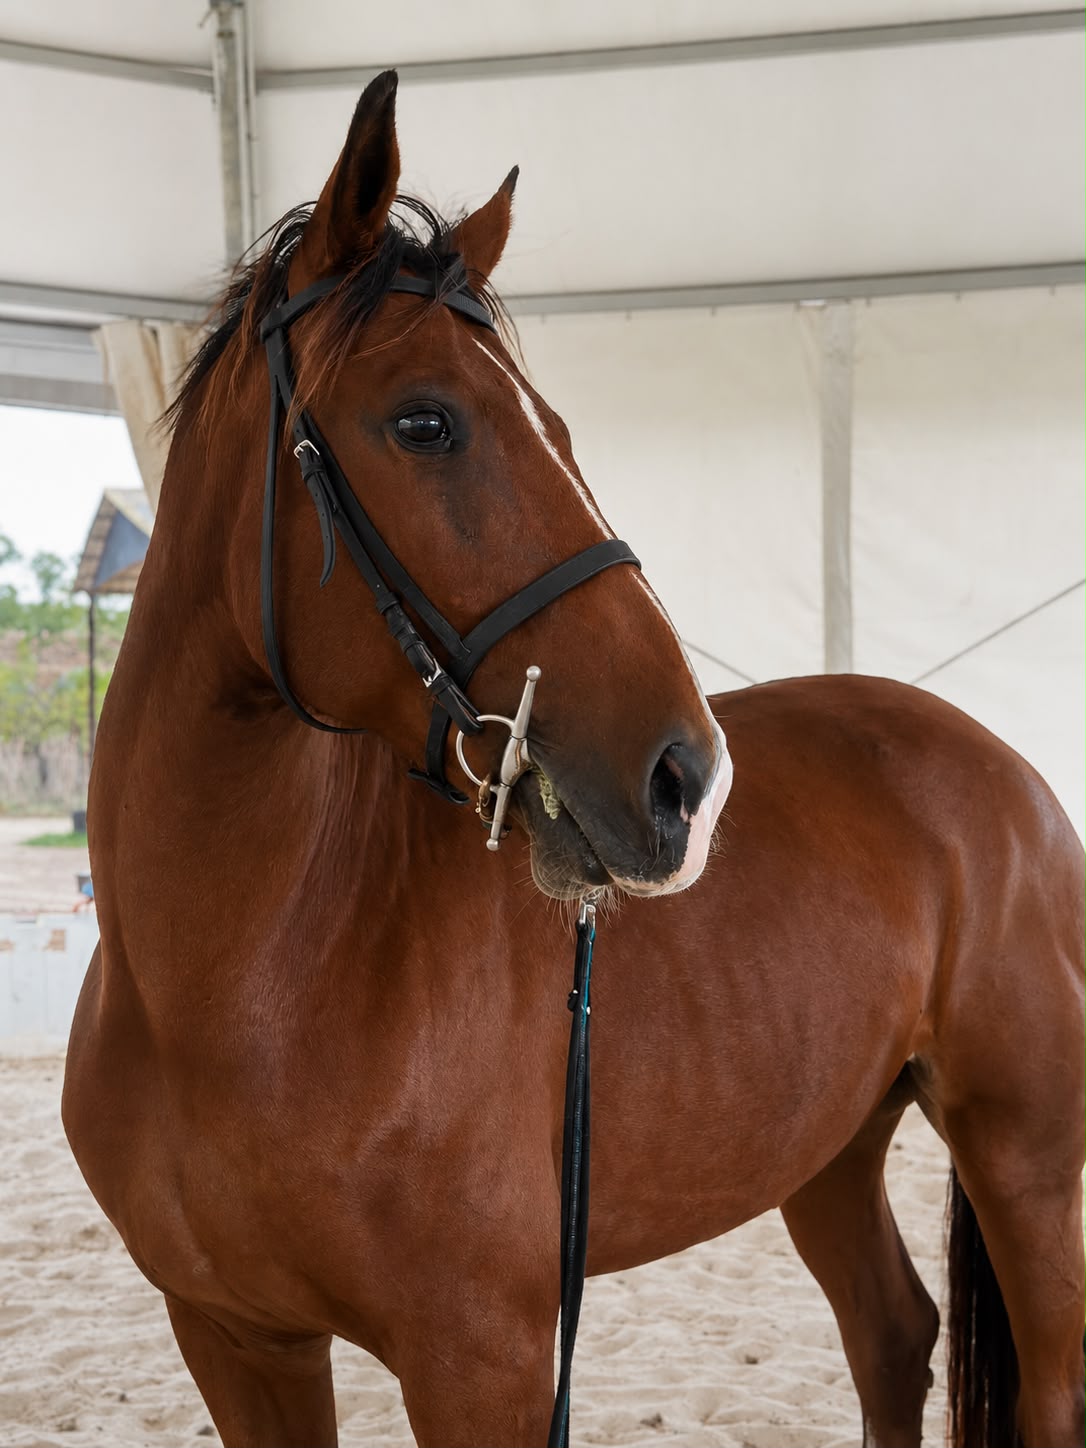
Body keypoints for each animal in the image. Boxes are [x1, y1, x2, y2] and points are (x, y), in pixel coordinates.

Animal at [63, 71, 1086, 1448]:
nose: (684, 776)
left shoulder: (482, 1358)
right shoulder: (237, 1341)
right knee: (891, 1336)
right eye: (425, 421)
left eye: (553, 422)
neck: (240, 988)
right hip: (828, 1149)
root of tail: (1011, 775)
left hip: (1023, 1152)